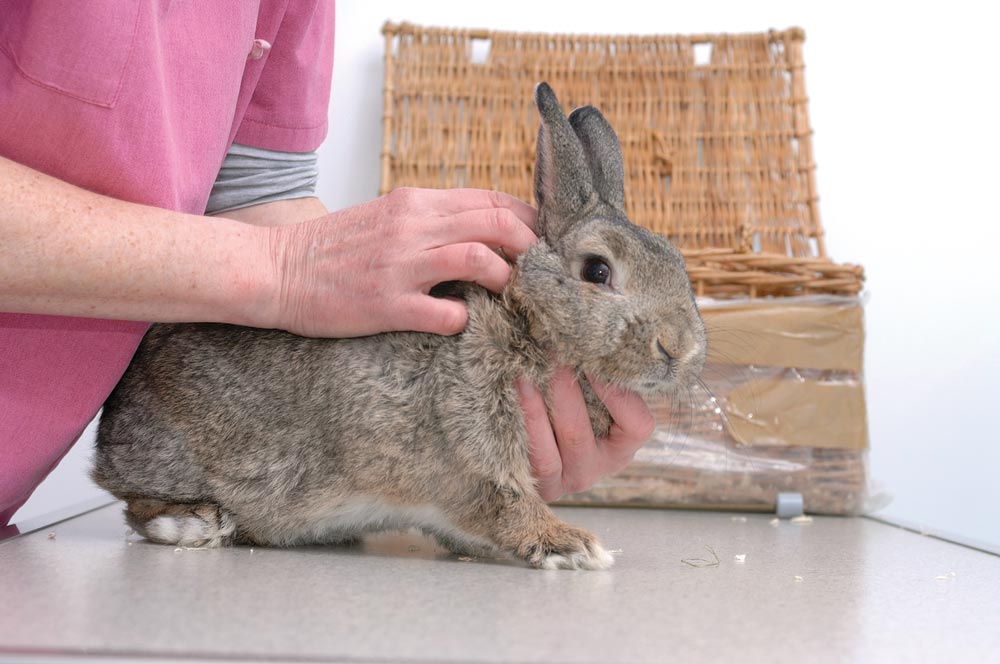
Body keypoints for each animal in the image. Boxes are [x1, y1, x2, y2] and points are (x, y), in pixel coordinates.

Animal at [93, 82, 707, 570]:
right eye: (598, 271)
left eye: (678, 261)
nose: (678, 348)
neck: (527, 320)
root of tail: (111, 423)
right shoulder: (469, 426)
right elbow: (503, 496)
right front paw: (570, 545)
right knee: (132, 500)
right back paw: (194, 522)